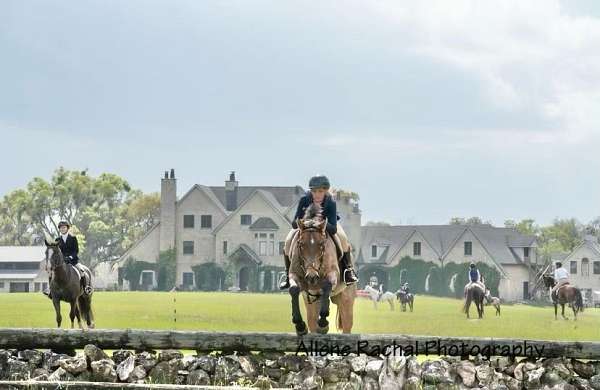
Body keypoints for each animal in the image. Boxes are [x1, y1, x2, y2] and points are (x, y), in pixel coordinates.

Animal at [288, 204, 354, 336]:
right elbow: (293, 290)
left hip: (346, 300)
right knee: (313, 321)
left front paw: (323, 324)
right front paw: (299, 325)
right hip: (312, 303)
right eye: (301, 245)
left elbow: (327, 286)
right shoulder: (294, 275)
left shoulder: (333, 274)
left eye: (322, 245)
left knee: (347, 325)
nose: (312, 277)